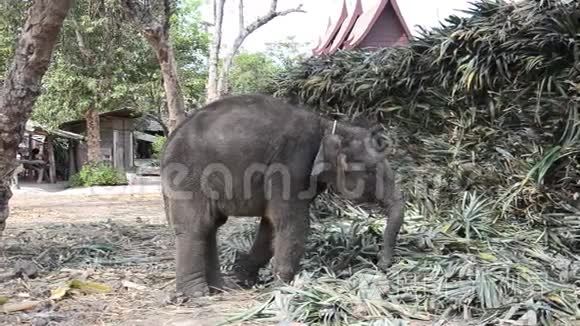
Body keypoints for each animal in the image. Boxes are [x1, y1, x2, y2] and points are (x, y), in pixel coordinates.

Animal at [159, 93, 404, 296]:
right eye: (371, 170)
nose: (380, 266)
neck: (329, 126)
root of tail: (169, 140)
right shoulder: (290, 165)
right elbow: (292, 221)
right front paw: (284, 288)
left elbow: (271, 225)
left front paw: (244, 279)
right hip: (189, 175)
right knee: (196, 226)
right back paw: (197, 295)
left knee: (210, 225)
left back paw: (220, 288)